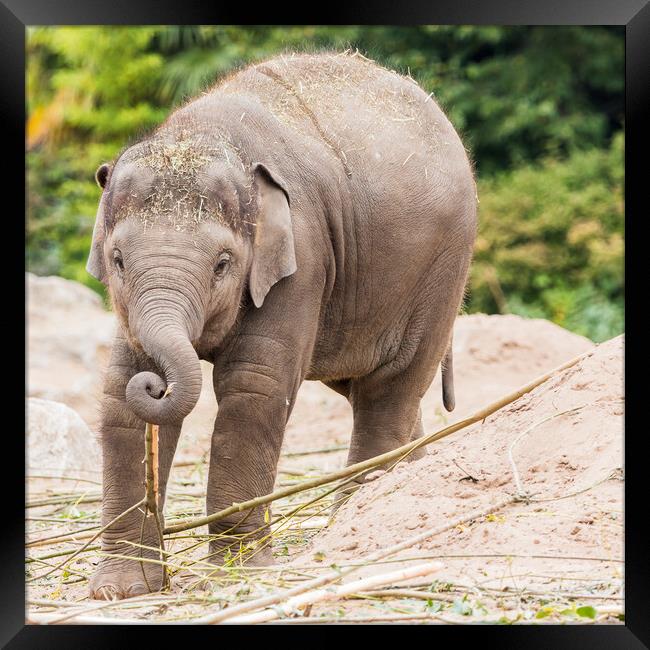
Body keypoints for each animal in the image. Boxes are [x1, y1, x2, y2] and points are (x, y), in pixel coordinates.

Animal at [86, 50, 476, 596]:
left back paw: (356, 522)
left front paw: (236, 574)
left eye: (223, 263)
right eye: (117, 260)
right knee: (371, 392)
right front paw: (124, 589)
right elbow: (119, 394)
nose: (157, 383)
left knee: (390, 391)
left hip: (441, 270)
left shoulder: (303, 255)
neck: (203, 134)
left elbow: (253, 387)